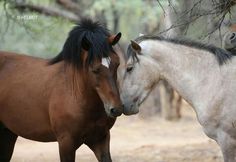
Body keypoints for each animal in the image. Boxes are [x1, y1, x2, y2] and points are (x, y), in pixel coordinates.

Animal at [0, 18, 123, 162]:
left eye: (117, 64)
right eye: (94, 69)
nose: (116, 109)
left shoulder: (100, 139)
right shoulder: (66, 143)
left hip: (8, 133)